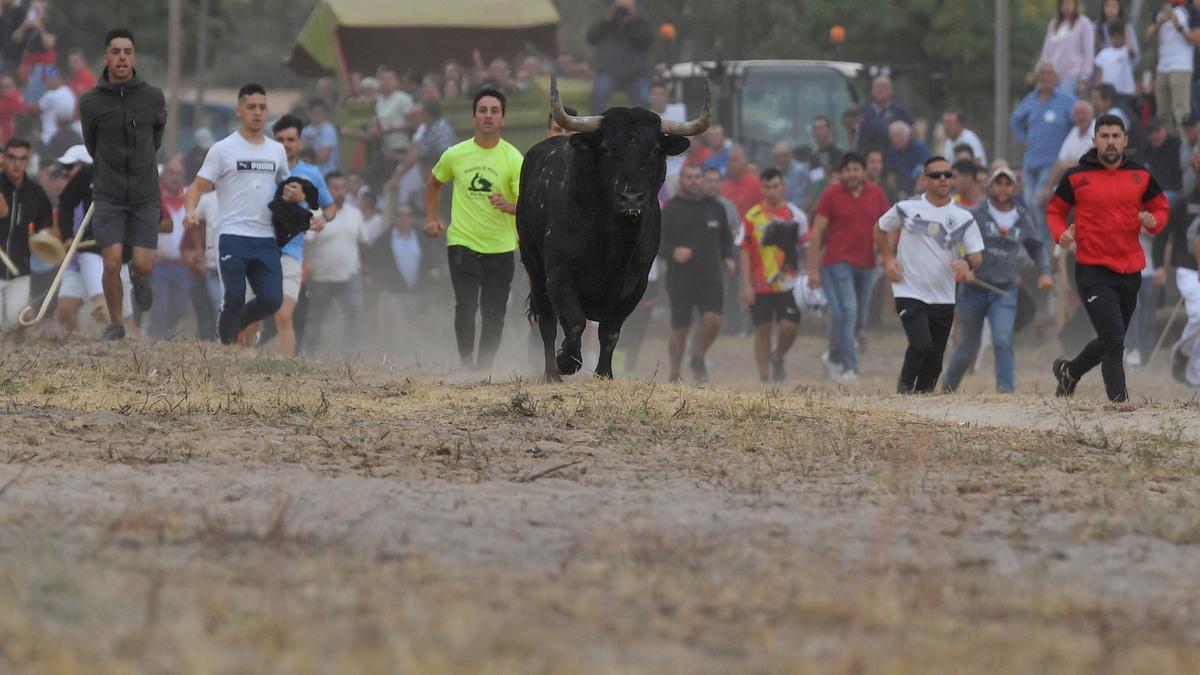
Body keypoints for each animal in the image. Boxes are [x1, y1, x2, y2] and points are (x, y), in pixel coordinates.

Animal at [518, 76, 710, 381]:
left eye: (655, 149)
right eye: (607, 148)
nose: (631, 197)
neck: (613, 242)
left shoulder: (636, 283)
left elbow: (610, 332)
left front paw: (604, 373)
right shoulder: (559, 273)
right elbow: (574, 323)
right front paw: (566, 361)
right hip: (533, 264)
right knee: (547, 320)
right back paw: (551, 372)